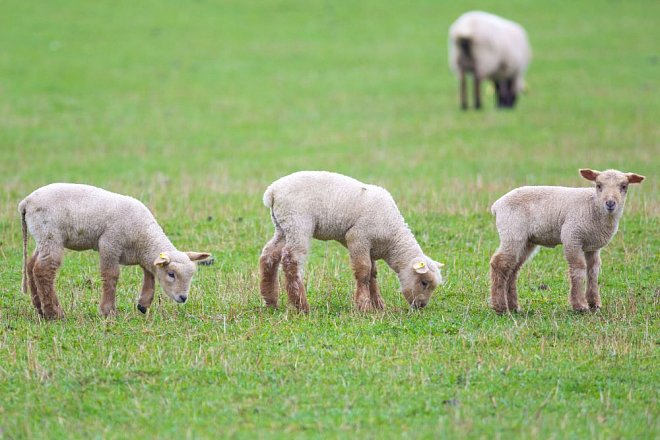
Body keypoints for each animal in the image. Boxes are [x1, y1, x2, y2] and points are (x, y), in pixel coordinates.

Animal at [18, 183, 210, 320]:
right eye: (171, 274)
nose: (183, 297)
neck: (143, 238)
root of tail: (26, 202)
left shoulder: (143, 255)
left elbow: (150, 274)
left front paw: (143, 304)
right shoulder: (109, 244)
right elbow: (111, 276)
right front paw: (107, 311)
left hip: (42, 237)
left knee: (31, 266)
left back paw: (40, 308)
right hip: (51, 234)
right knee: (43, 270)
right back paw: (54, 313)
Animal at [258, 170, 444, 312]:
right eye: (424, 282)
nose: (421, 306)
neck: (393, 240)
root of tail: (272, 191)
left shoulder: (370, 248)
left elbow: (373, 274)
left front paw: (378, 304)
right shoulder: (358, 237)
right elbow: (363, 272)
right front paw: (364, 306)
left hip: (282, 227)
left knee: (269, 256)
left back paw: (271, 301)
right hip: (298, 223)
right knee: (291, 261)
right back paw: (301, 306)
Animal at [490, 168, 644, 312]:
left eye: (624, 186)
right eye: (599, 185)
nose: (610, 203)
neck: (593, 205)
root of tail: (497, 205)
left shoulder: (593, 245)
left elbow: (593, 270)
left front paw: (594, 303)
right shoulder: (572, 235)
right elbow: (578, 268)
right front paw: (580, 305)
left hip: (526, 241)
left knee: (513, 268)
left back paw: (514, 306)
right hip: (512, 231)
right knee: (500, 263)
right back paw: (500, 307)